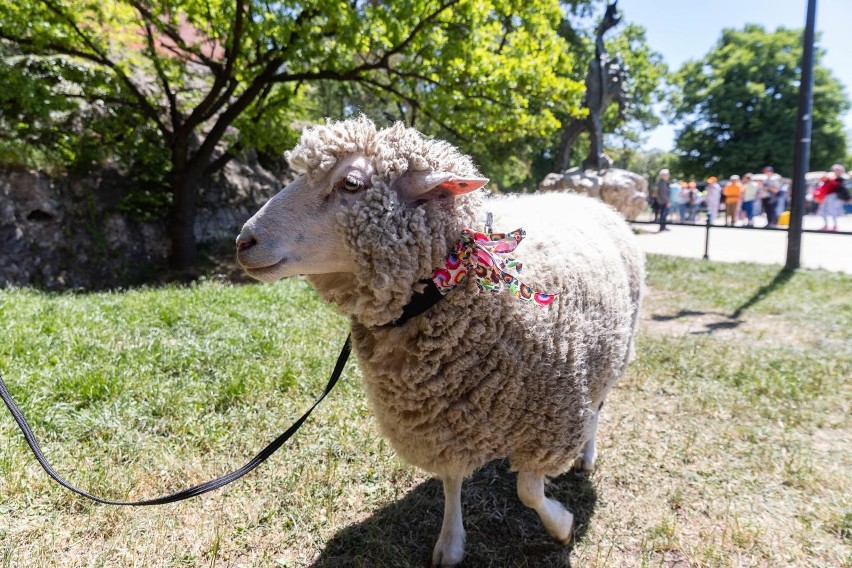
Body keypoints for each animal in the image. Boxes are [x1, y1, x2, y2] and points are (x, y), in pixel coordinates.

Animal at [236, 116, 644, 568]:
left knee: (596, 410)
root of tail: (581, 198)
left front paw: (561, 525)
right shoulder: (440, 420)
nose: (243, 242)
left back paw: (586, 457)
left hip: (614, 352)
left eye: (352, 183)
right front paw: (451, 543)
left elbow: (529, 491)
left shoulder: (551, 424)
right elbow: (451, 481)